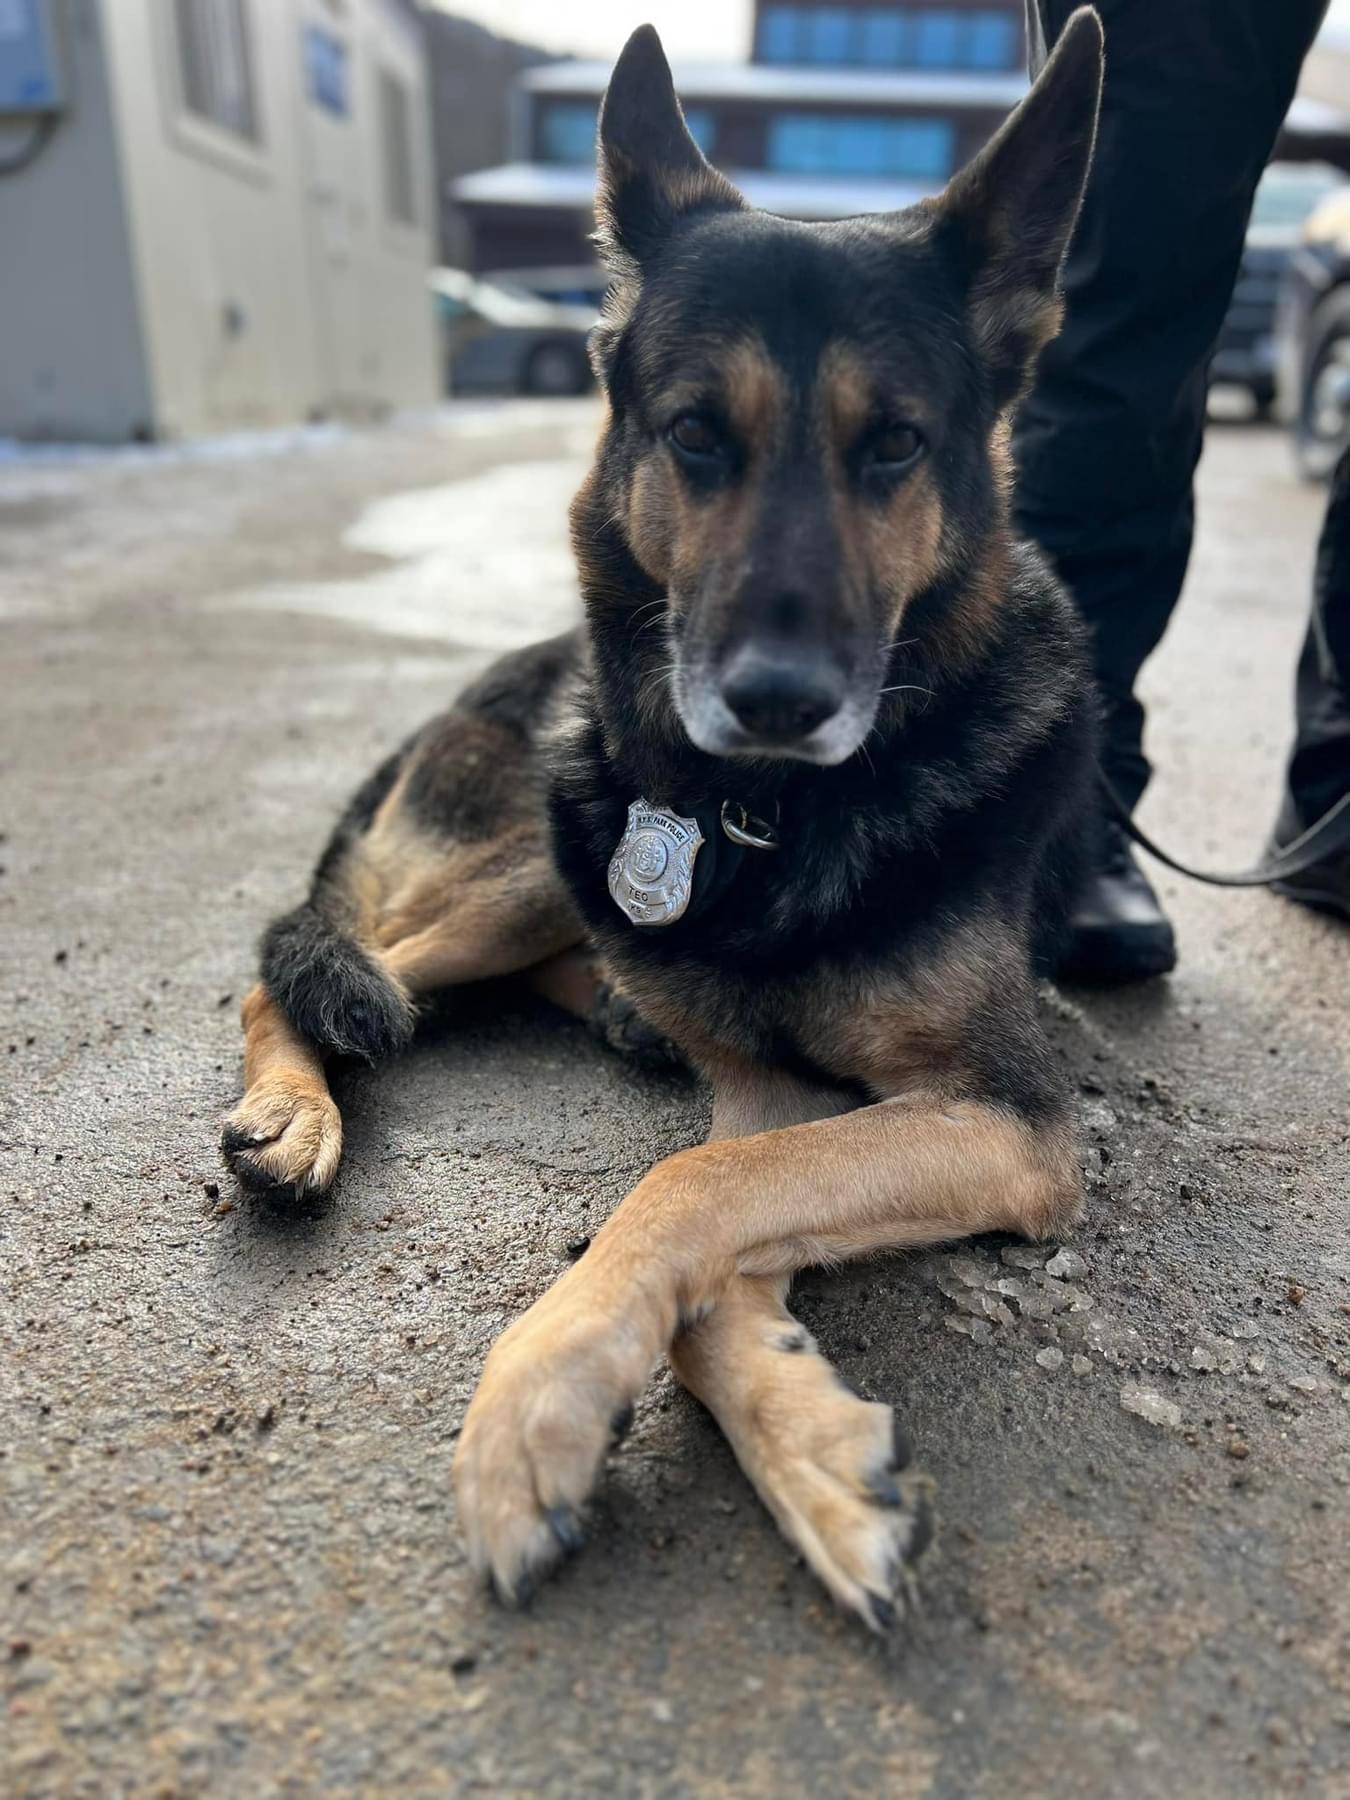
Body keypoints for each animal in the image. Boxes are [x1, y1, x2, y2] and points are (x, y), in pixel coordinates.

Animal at [221, 11, 1104, 1633]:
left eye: (895, 446)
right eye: (696, 433)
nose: (774, 701)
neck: (777, 815)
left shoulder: (989, 1115)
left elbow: (703, 1193)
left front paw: (732, 1426)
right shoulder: (793, 1088)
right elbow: (696, 1191)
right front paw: (578, 1397)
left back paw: (623, 1017)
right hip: (545, 843)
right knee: (318, 968)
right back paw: (297, 1109)